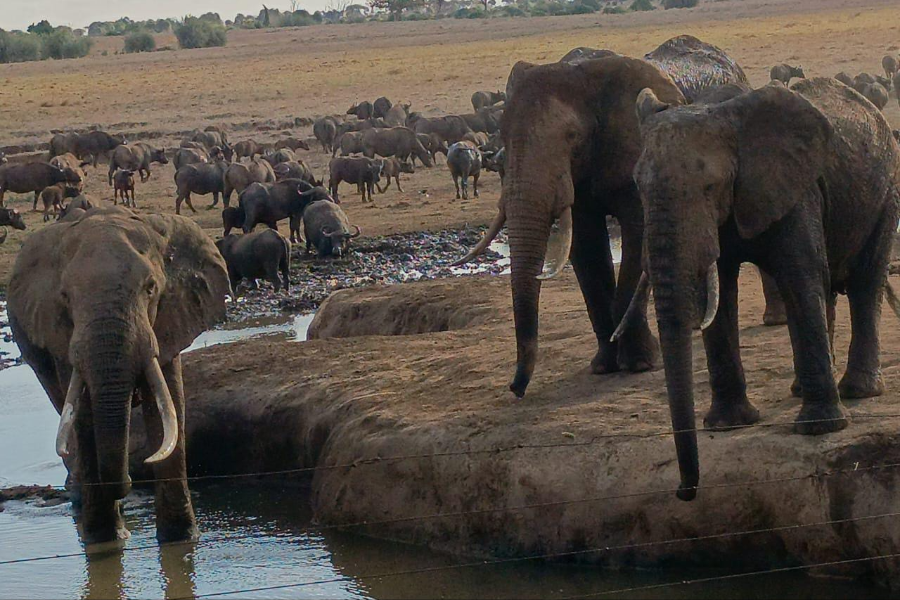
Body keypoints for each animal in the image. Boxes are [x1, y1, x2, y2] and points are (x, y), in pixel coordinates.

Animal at [7, 207, 229, 548]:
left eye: (150, 287)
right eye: (65, 296)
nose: (126, 482)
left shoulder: (171, 318)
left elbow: (167, 407)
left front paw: (181, 540)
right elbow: (83, 416)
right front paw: (102, 543)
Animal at [458, 35, 780, 396]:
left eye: (572, 136)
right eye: (503, 136)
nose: (515, 388)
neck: (583, 74)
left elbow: (637, 236)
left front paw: (639, 363)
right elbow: (585, 247)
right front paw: (603, 366)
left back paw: (770, 320)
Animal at [628, 79, 900, 502]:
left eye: (710, 187)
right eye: (637, 186)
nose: (684, 492)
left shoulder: (796, 189)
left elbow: (799, 274)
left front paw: (820, 428)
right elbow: (720, 295)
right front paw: (727, 425)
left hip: (886, 191)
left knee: (863, 283)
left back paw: (858, 392)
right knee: (827, 287)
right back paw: (801, 389)